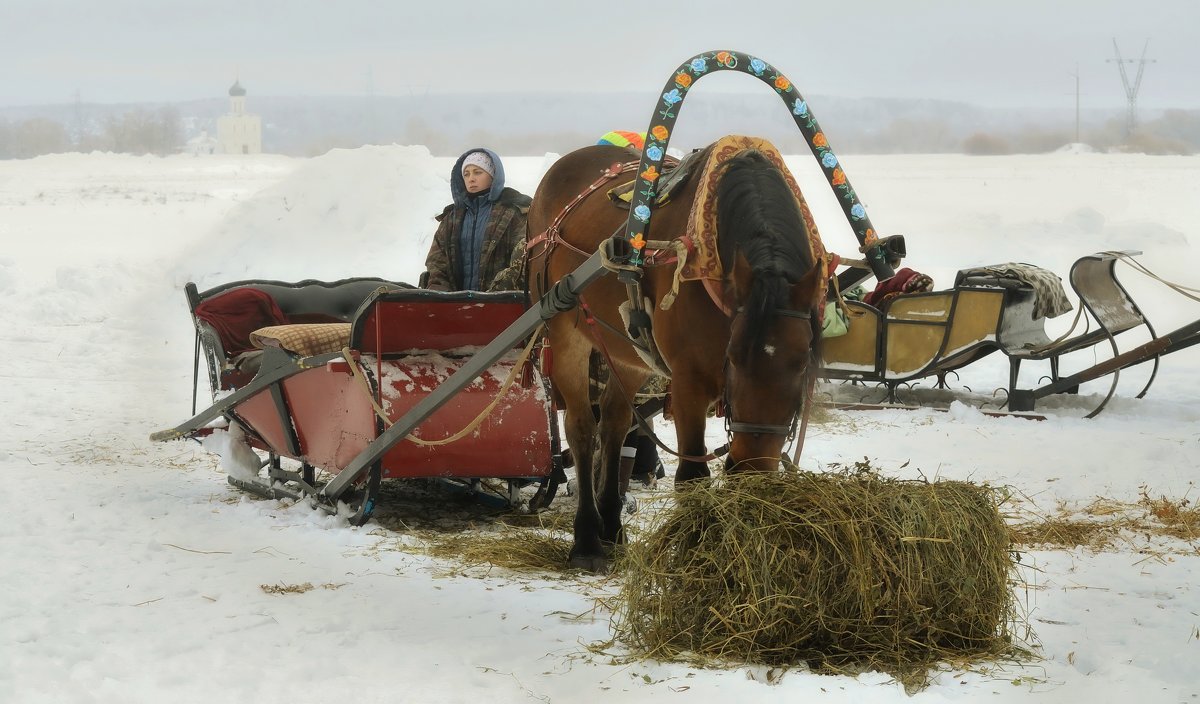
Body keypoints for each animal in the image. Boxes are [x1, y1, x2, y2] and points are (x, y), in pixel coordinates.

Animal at [528, 140, 825, 570]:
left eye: (802, 362)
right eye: (734, 356)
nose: (751, 468)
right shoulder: (688, 385)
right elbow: (692, 477)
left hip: (629, 353)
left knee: (615, 426)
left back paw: (612, 527)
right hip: (566, 331)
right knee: (582, 430)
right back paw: (586, 540)